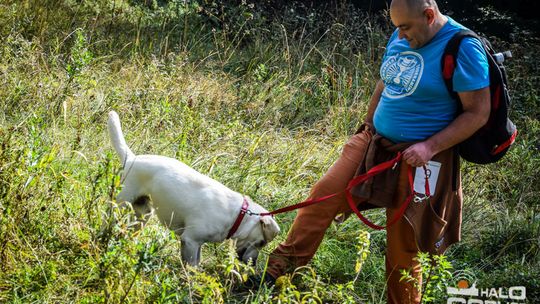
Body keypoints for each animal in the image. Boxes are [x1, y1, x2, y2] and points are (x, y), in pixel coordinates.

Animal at [107, 111, 280, 266]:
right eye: (261, 242)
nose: (253, 264)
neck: (238, 214)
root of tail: (132, 158)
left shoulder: (197, 243)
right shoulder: (190, 240)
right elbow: (192, 267)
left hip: (142, 214)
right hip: (121, 205)